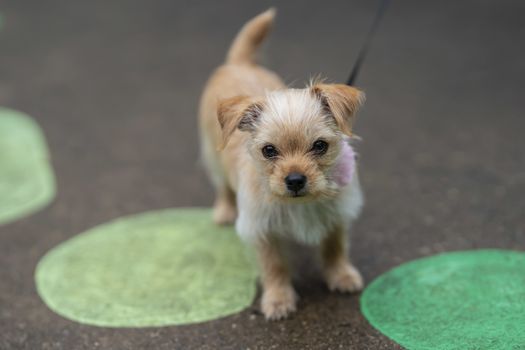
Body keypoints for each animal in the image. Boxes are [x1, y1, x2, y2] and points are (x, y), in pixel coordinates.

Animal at [196, 8, 364, 320]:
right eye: (269, 150)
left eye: (320, 146)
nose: (295, 180)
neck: (300, 205)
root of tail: (238, 63)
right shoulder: (262, 230)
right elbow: (274, 266)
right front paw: (278, 299)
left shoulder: (336, 214)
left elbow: (335, 247)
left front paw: (341, 275)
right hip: (213, 157)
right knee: (222, 186)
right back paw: (224, 210)